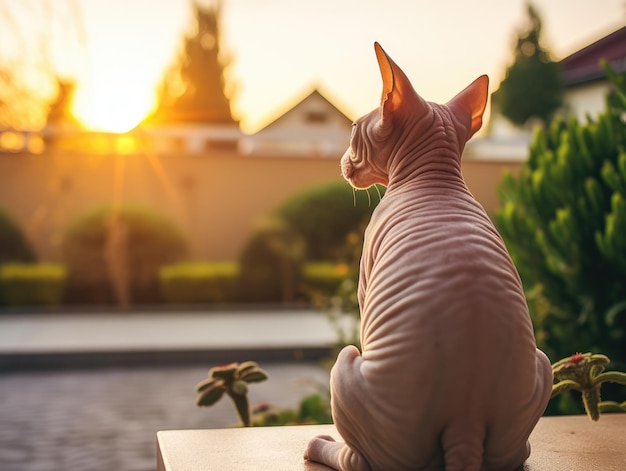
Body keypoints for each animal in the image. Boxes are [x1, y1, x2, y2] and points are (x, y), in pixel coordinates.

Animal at [304, 42, 552, 470]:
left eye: (352, 130)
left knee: (357, 460)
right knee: (521, 455)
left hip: (347, 366)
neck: (436, 178)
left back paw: (320, 446)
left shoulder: (367, 280)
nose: (342, 162)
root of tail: (465, 423)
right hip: (542, 369)